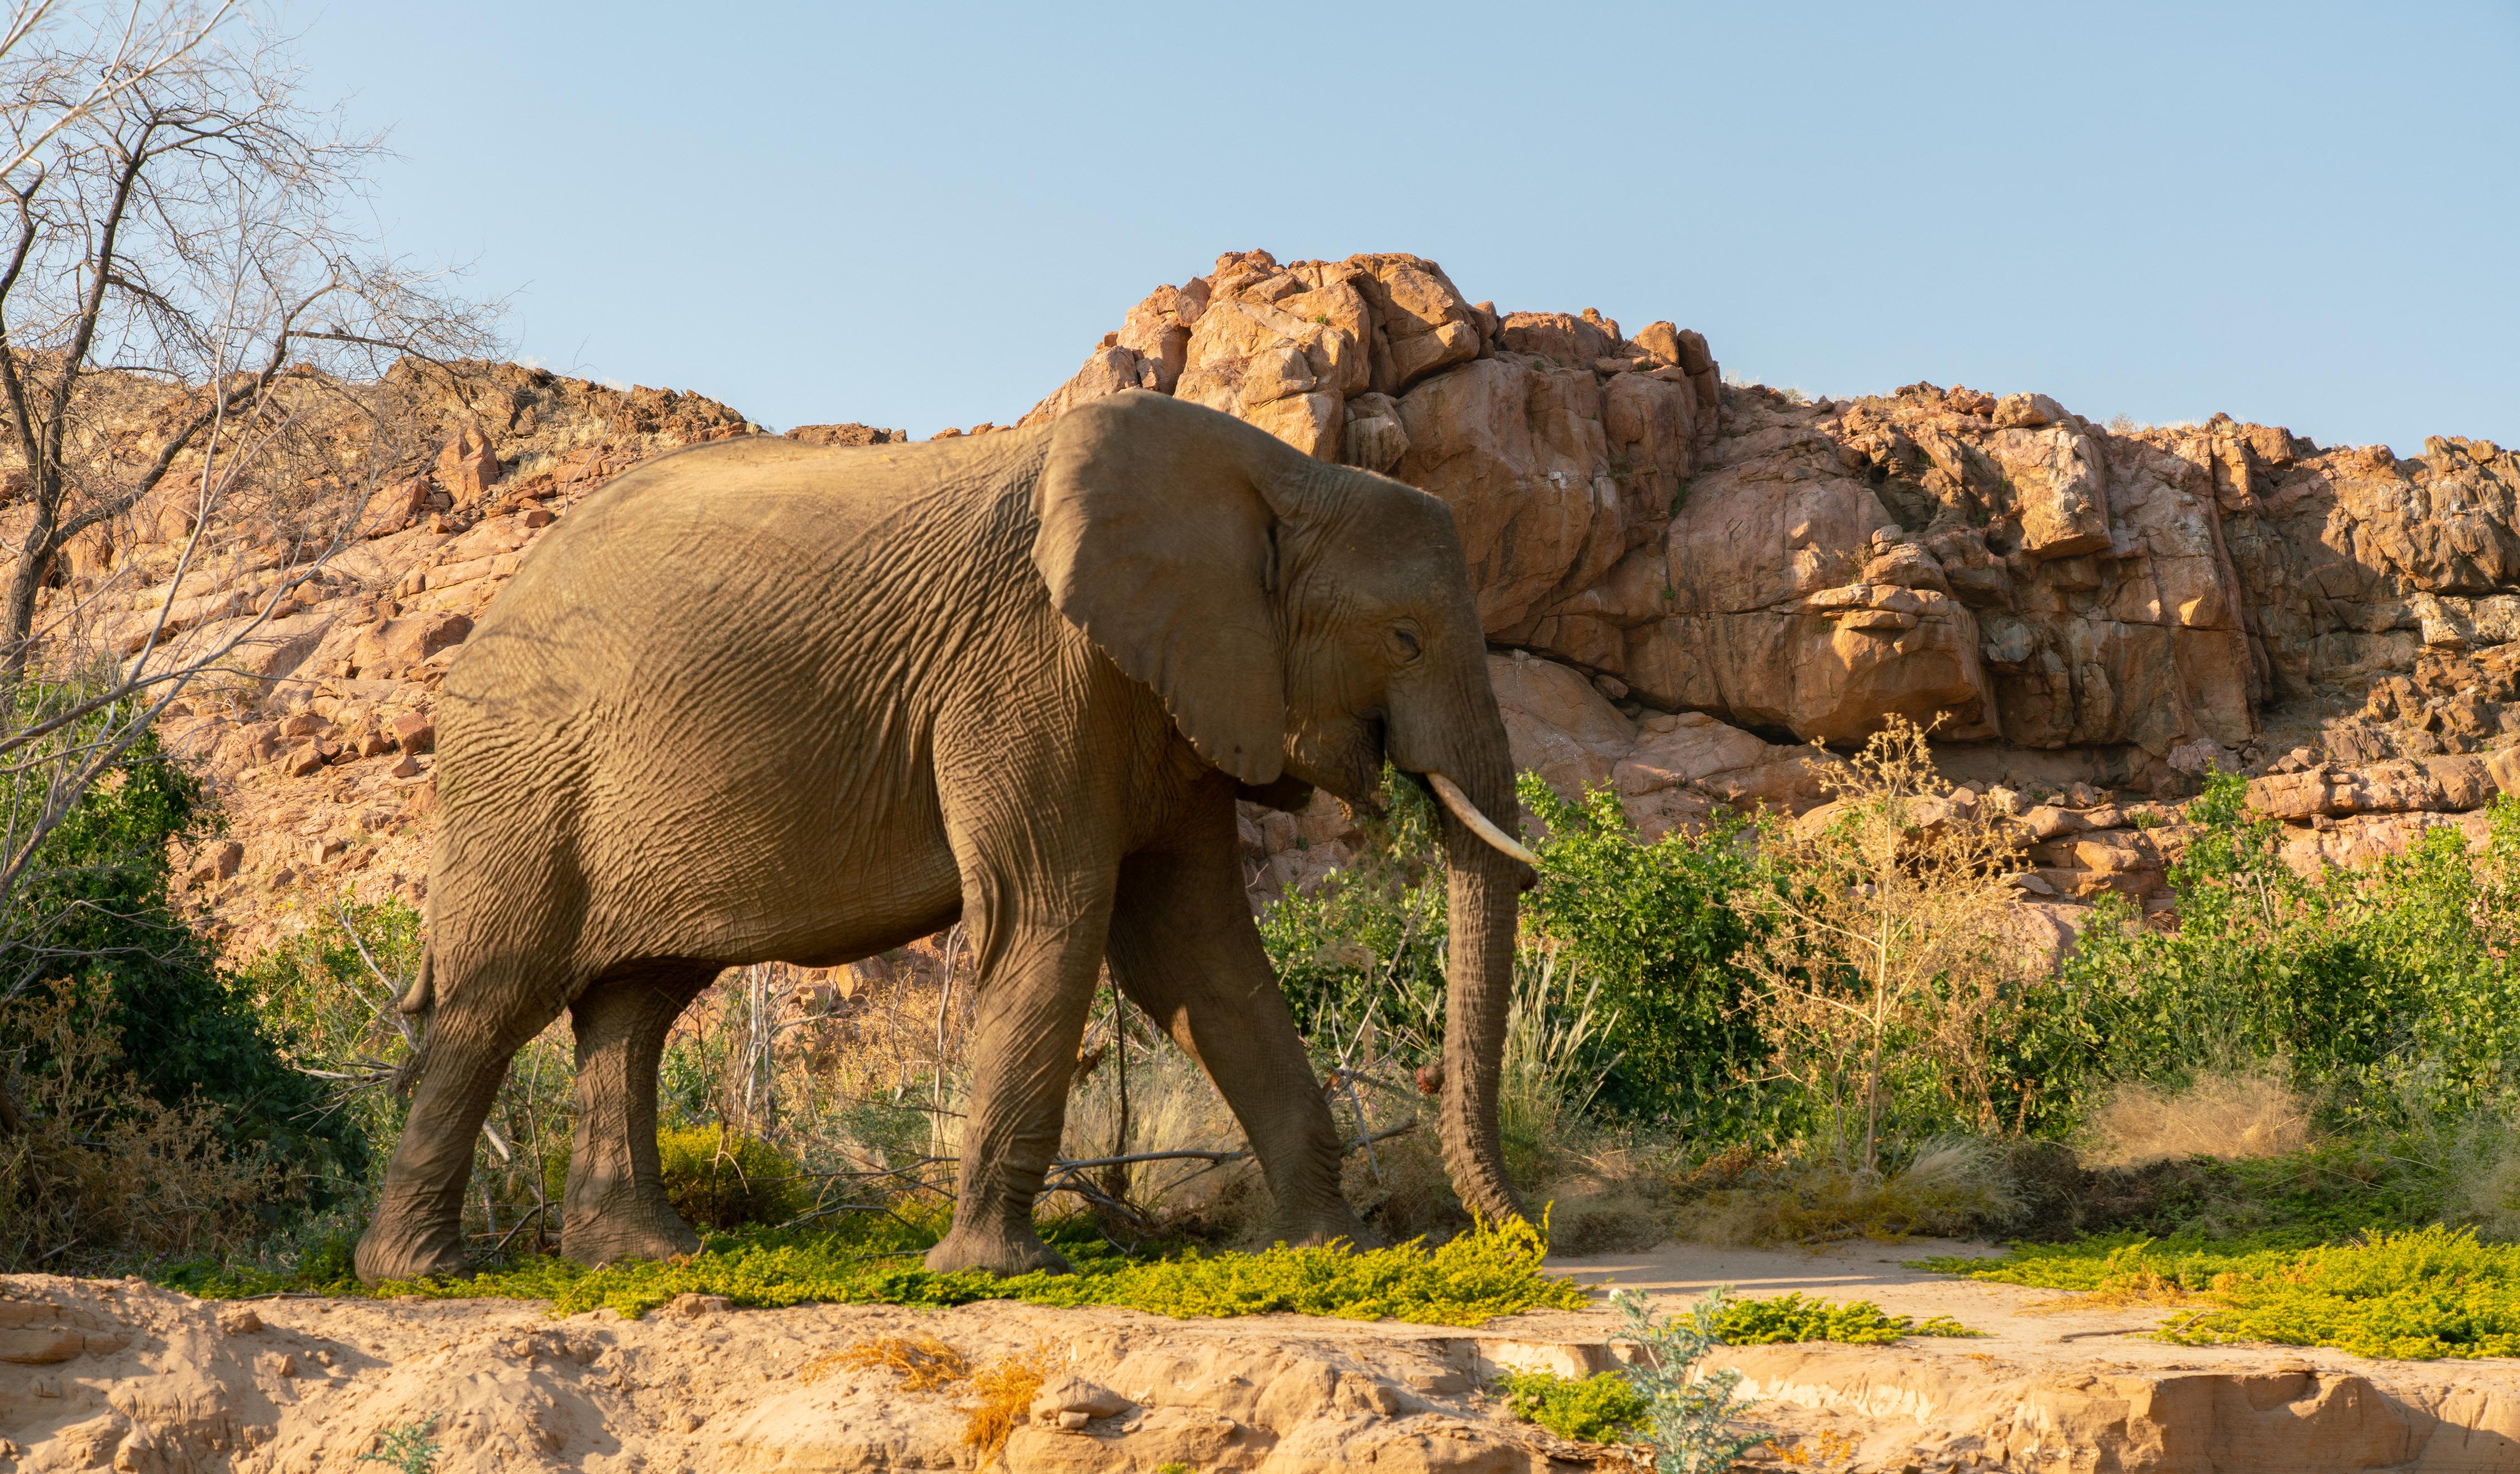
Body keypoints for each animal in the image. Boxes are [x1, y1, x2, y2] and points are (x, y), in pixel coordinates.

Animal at [353, 385, 1532, 1280]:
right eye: (1405, 638)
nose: (1523, 1238)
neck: (1277, 474)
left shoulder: (1172, 692)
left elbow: (1198, 950)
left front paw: (1331, 1251)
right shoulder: (1029, 667)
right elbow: (1054, 914)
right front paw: (996, 1273)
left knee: (634, 1004)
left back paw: (643, 1257)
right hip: (524, 781)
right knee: (497, 999)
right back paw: (423, 1273)